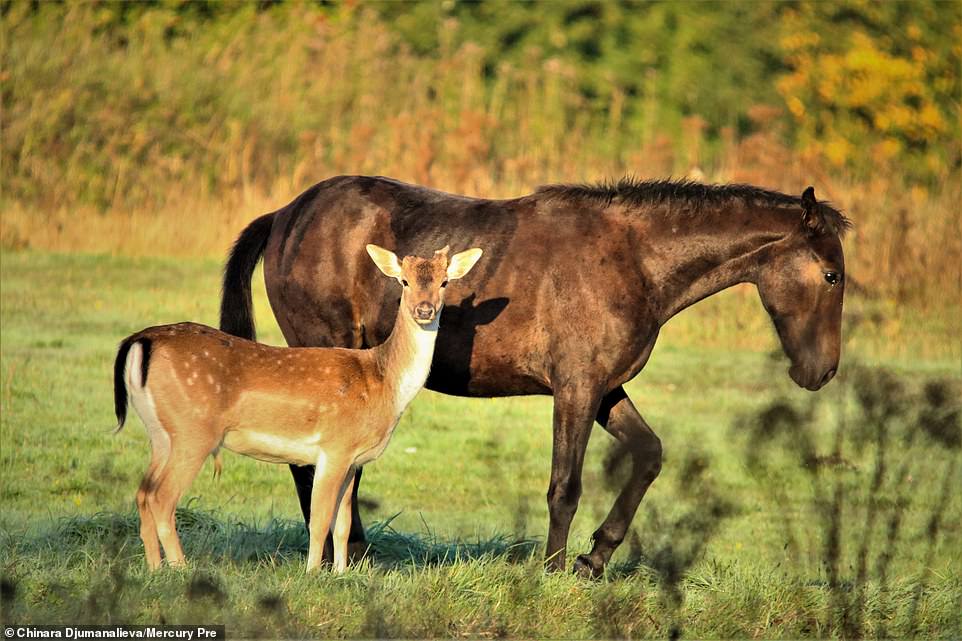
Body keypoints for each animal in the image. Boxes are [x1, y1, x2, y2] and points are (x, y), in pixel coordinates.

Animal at [219, 175, 848, 576]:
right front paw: (553, 569)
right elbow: (564, 486)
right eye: (832, 275)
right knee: (311, 463)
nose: (821, 371)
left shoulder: (604, 390)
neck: (635, 261)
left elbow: (648, 454)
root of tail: (286, 216)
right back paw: (338, 553)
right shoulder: (575, 389)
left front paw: (594, 559)